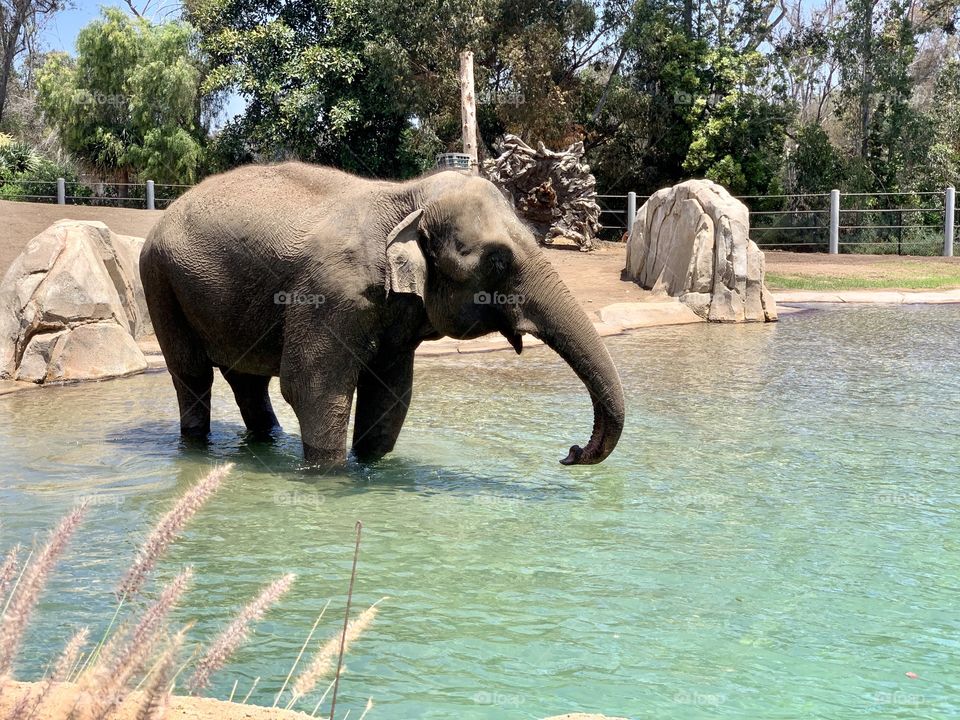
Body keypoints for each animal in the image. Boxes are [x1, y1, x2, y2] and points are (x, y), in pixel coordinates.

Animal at [139, 162, 628, 466]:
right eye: (497, 262)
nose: (569, 452)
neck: (406, 195)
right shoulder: (330, 293)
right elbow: (313, 388)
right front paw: (331, 475)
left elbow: (391, 393)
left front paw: (372, 464)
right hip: (159, 280)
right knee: (192, 374)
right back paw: (197, 449)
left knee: (247, 380)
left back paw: (266, 441)